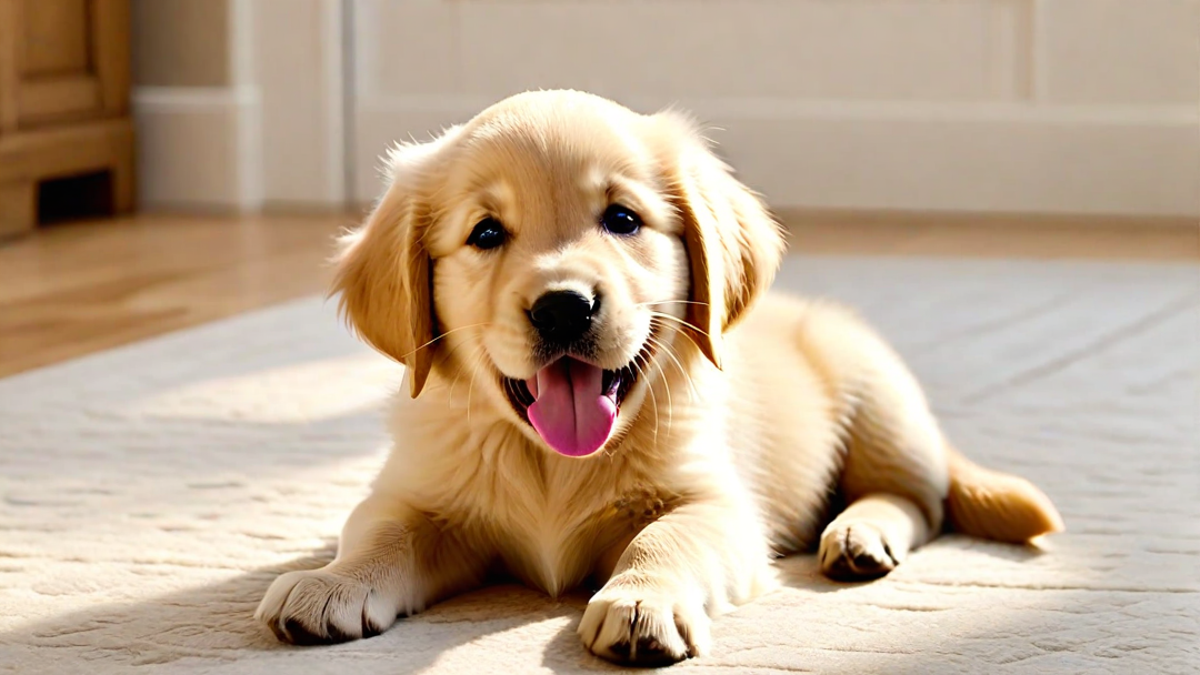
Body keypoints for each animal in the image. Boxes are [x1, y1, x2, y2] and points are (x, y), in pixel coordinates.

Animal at [253, 89, 1060, 662]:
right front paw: (330, 582)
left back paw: (861, 533)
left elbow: (663, 538)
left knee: (919, 499)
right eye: (485, 233)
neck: (551, 461)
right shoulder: (418, 493)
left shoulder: (716, 503)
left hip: (878, 398)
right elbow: (381, 535)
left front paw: (641, 603)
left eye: (622, 219)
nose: (563, 307)